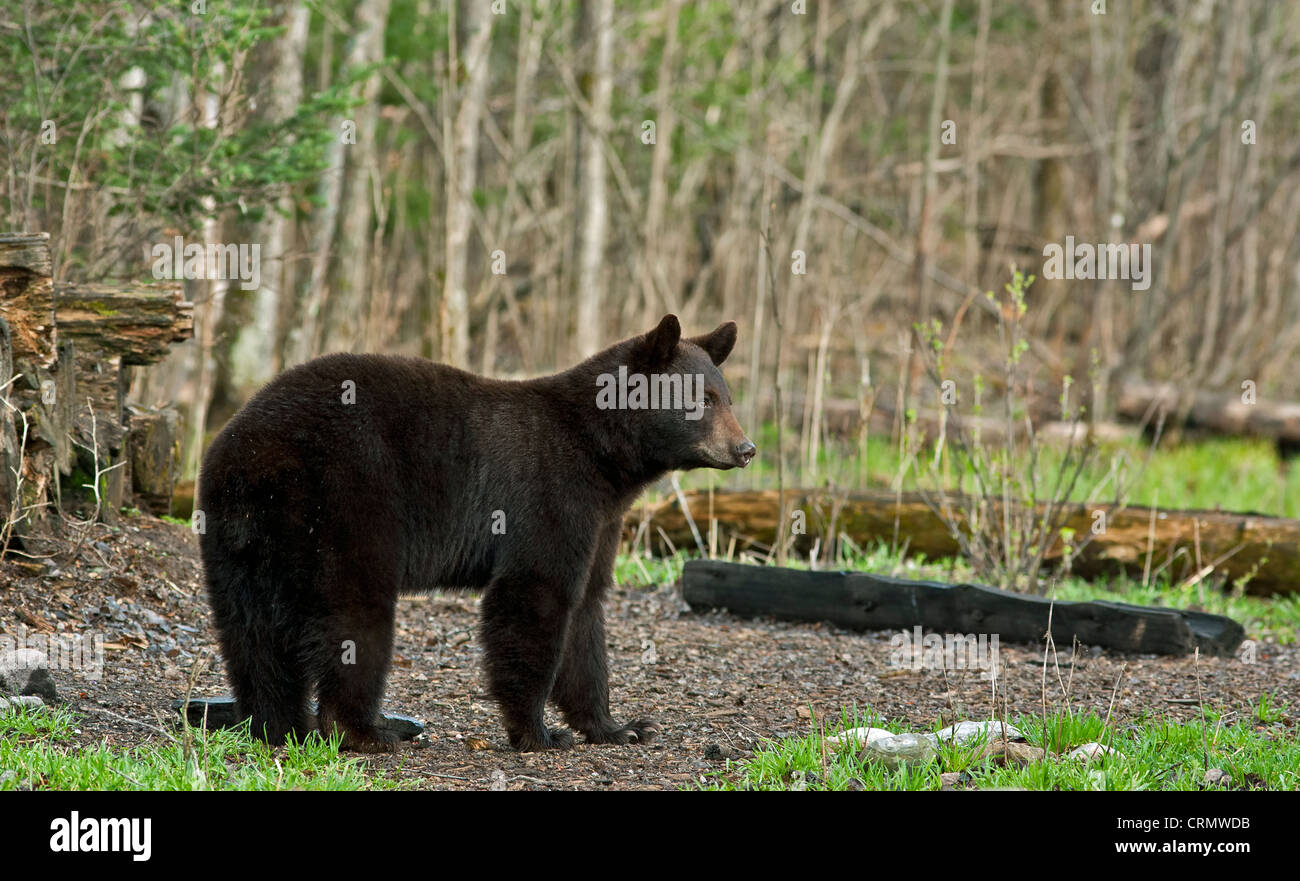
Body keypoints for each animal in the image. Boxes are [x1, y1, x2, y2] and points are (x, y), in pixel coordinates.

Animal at [198, 314, 754, 751]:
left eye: (727, 396)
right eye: (702, 399)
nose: (746, 449)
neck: (603, 458)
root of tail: (251, 452)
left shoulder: (601, 518)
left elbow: (586, 611)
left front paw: (617, 727)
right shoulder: (551, 495)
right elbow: (535, 595)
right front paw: (538, 732)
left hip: (241, 536)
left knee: (251, 631)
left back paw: (279, 725)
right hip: (345, 504)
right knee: (354, 616)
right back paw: (367, 731)